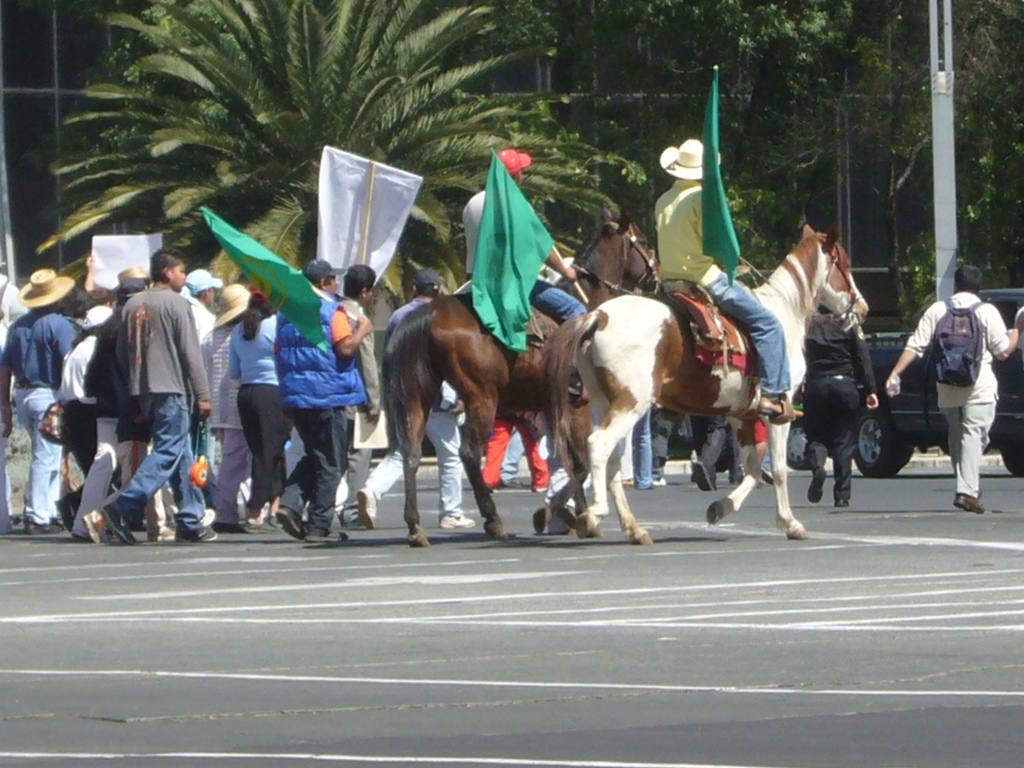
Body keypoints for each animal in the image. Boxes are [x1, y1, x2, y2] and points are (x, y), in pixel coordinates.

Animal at [382, 210, 655, 548]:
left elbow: (568, 460)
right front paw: (564, 514)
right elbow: (580, 463)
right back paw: (493, 520)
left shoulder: (554, 408)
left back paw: (415, 526)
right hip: (482, 398)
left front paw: (573, 512)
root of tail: (430, 312)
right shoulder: (578, 406)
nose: (656, 274)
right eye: (643, 241)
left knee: (411, 453)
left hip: (419, 396)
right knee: (469, 454)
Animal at [548, 225, 868, 544]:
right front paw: (790, 523)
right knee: (599, 445)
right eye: (845, 264)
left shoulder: (744, 415)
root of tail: (599, 316)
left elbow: (753, 469)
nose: (862, 308)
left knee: (610, 460)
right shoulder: (780, 413)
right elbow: (777, 469)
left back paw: (633, 528)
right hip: (630, 404)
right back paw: (593, 515)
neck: (784, 315)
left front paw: (720, 508)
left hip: (604, 403)